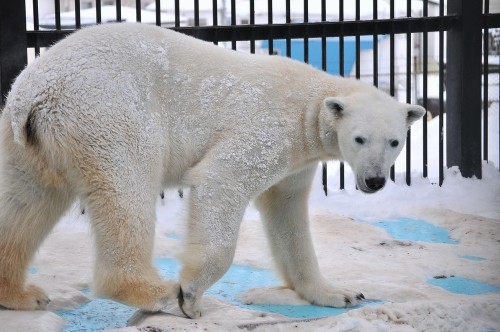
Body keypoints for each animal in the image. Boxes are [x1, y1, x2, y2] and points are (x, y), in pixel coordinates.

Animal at [0, 22, 426, 318]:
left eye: (394, 141)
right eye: (359, 138)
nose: (374, 180)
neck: (310, 102)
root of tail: (34, 93)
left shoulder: (296, 160)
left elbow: (287, 212)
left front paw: (340, 293)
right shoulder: (268, 129)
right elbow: (222, 178)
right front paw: (189, 293)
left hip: (28, 144)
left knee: (25, 203)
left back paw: (22, 294)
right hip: (107, 113)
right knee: (126, 189)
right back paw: (157, 292)